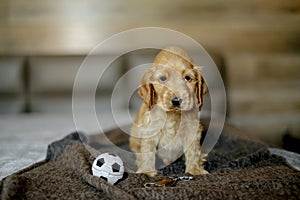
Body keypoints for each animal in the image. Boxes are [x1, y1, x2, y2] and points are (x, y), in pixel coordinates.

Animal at [130, 46, 207, 177]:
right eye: (163, 79)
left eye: (187, 78)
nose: (177, 101)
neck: (173, 115)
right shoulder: (150, 129)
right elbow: (147, 151)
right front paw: (147, 171)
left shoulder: (192, 128)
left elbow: (193, 150)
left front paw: (195, 169)